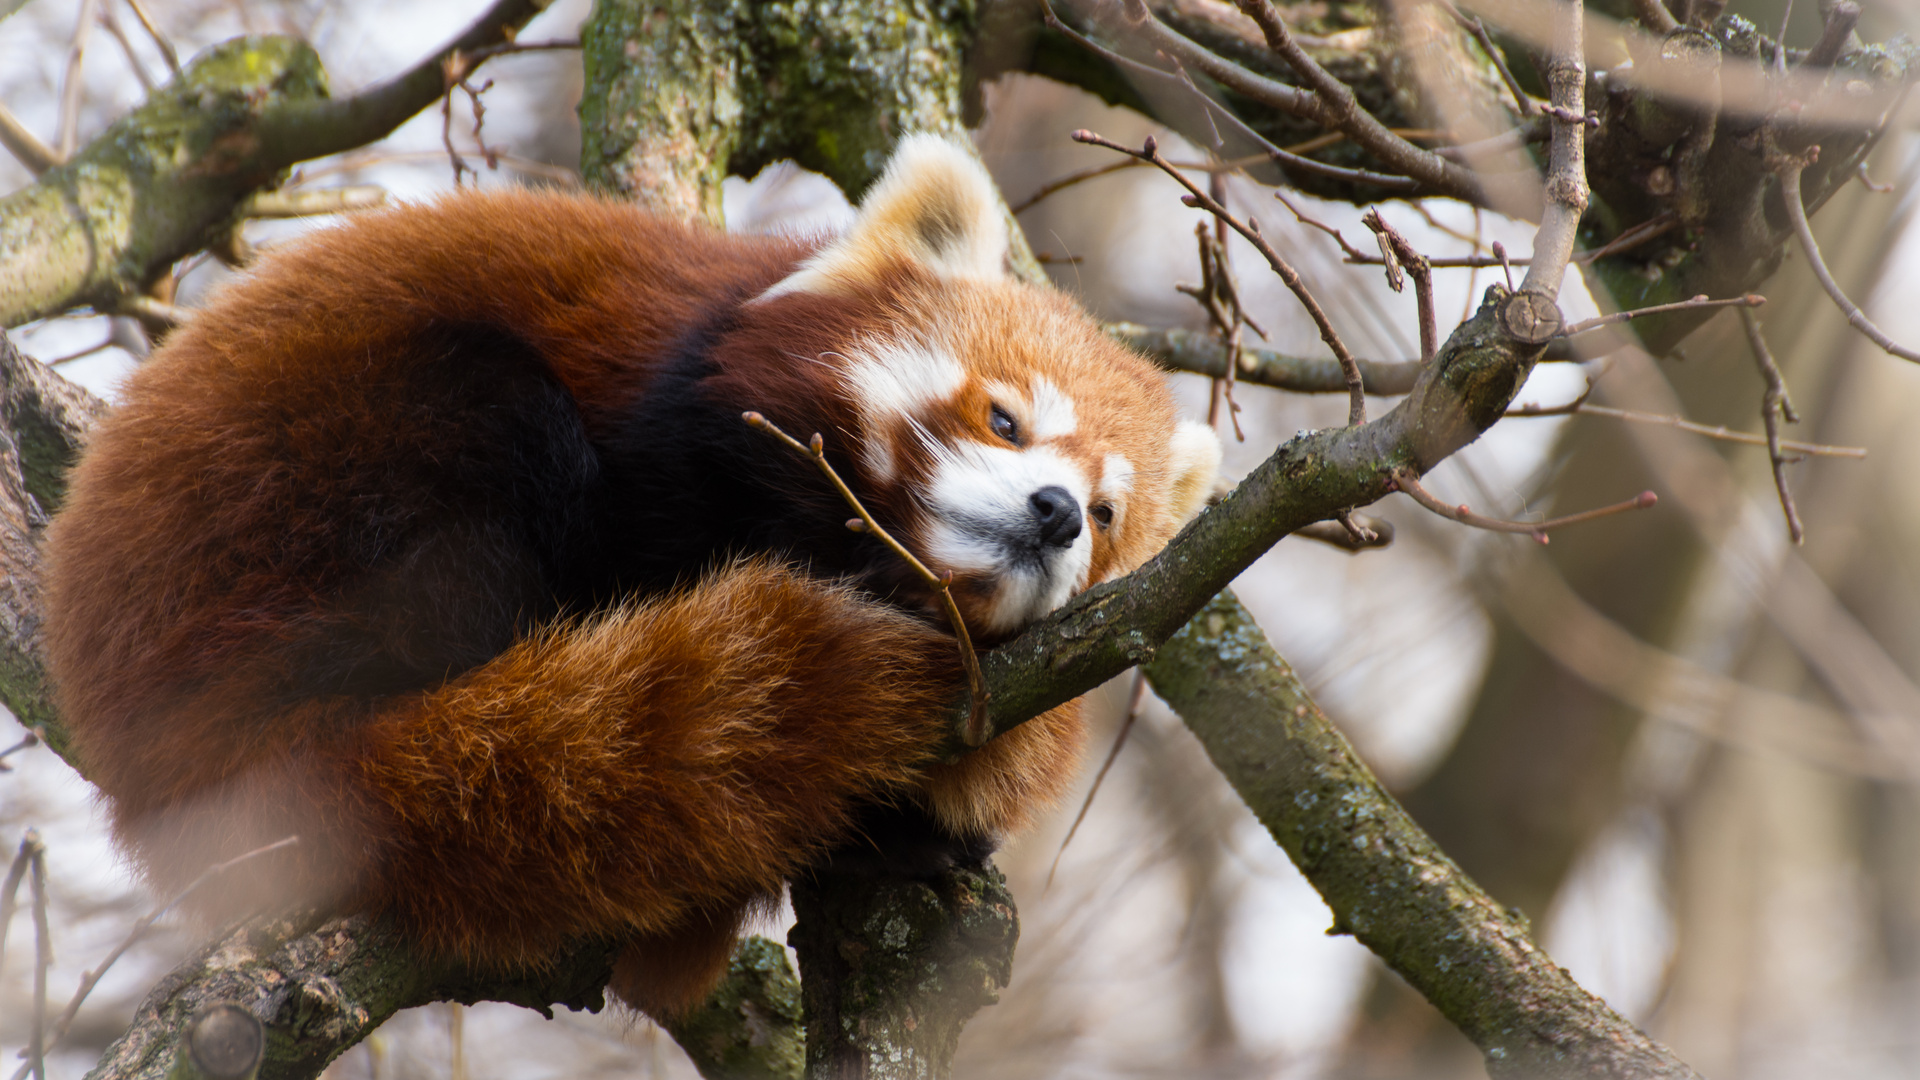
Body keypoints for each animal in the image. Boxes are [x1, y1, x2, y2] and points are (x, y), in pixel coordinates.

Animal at [41, 132, 1213, 1006]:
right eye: (1005, 418)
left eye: (1107, 514)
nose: (1054, 514)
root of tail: (145, 745)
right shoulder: (671, 428)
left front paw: (913, 834)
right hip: (312, 487)